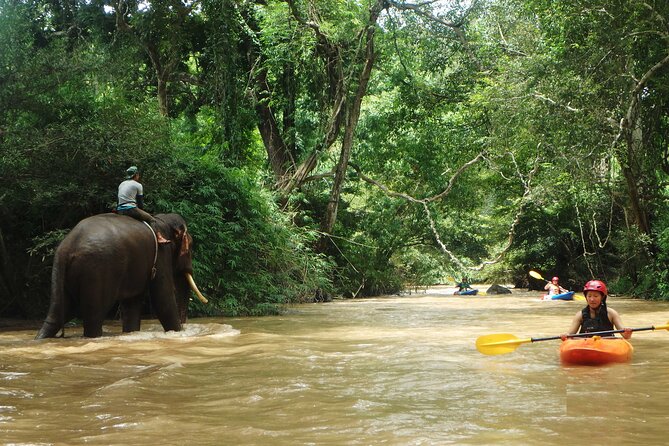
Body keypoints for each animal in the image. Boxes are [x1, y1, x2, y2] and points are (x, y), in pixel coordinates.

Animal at [35, 213, 207, 339]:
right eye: (191, 246)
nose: (184, 327)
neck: (162, 219)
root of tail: (68, 247)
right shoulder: (161, 253)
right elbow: (162, 298)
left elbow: (132, 302)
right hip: (96, 272)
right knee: (93, 317)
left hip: (60, 272)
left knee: (57, 315)